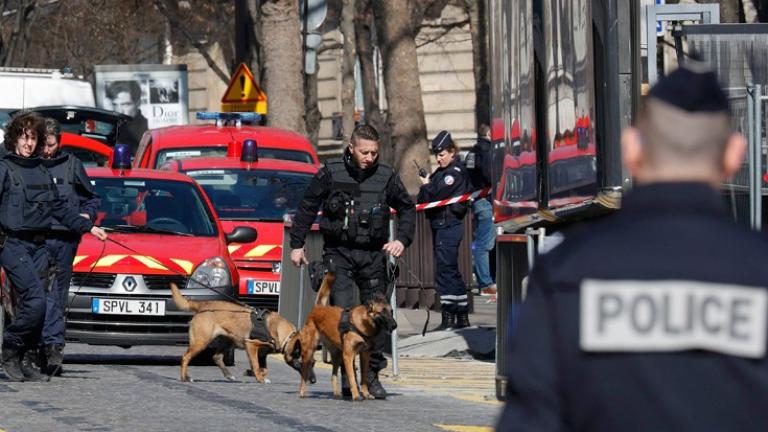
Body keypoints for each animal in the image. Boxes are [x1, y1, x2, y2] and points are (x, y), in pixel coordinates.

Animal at [170, 284, 304, 384]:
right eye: (300, 356)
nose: (308, 377)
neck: (279, 330)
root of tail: (203, 305)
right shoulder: (251, 346)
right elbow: (256, 365)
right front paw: (258, 377)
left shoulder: (262, 354)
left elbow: (264, 369)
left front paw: (253, 373)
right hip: (201, 342)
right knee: (185, 357)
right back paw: (185, 378)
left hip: (228, 341)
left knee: (216, 357)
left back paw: (228, 375)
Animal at [284, 274, 400, 402]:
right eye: (382, 313)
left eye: (391, 312)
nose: (395, 325)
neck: (362, 323)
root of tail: (317, 308)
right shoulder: (348, 355)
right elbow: (352, 378)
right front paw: (356, 395)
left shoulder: (365, 355)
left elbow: (364, 378)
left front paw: (366, 394)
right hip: (309, 352)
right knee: (304, 375)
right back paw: (302, 392)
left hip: (337, 355)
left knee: (333, 375)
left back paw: (336, 393)